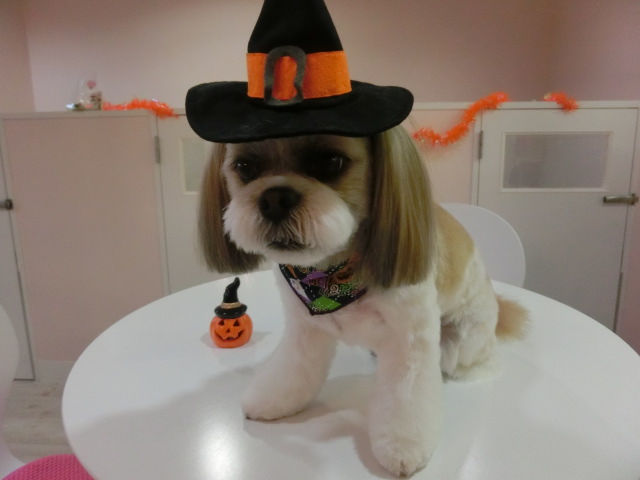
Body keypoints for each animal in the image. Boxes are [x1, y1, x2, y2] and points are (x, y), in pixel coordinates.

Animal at [198, 125, 527, 477]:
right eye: (245, 167)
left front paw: (402, 446)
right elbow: (292, 369)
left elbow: (405, 398)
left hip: (464, 336)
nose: (274, 198)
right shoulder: (304, 329)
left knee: (473, 357)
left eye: (330, 162)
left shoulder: (409, 340)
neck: (332, 275)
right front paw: (272, 400)